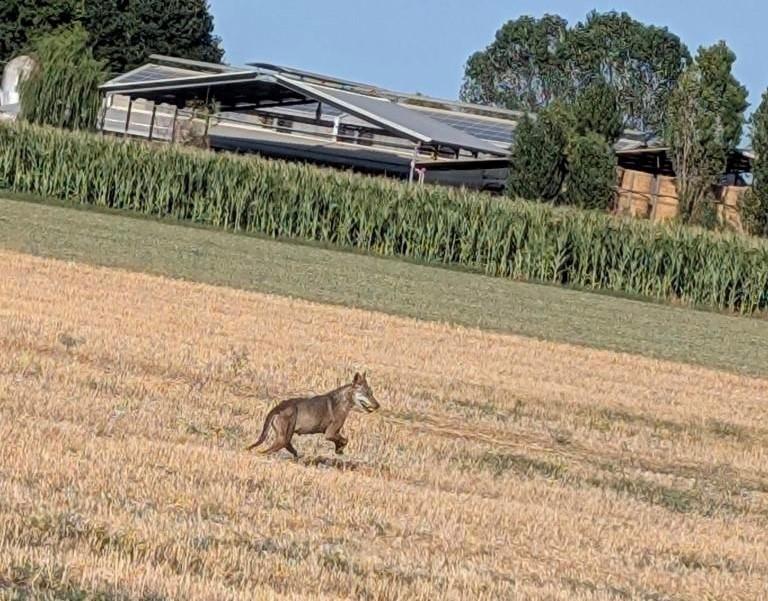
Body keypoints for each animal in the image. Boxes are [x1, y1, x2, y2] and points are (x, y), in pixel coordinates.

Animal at [245, 372, 380, 458]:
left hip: (285, 436)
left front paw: (338, 450)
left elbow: (342, 440)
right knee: (267, 451)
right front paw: (340, 449)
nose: (378, 405)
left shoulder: (334, 433)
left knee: (288, 448)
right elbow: (345, 440)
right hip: (283, 438)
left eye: (372, 393)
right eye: (366, 393)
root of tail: (277, 408)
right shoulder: (330, 433)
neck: (343, 400)